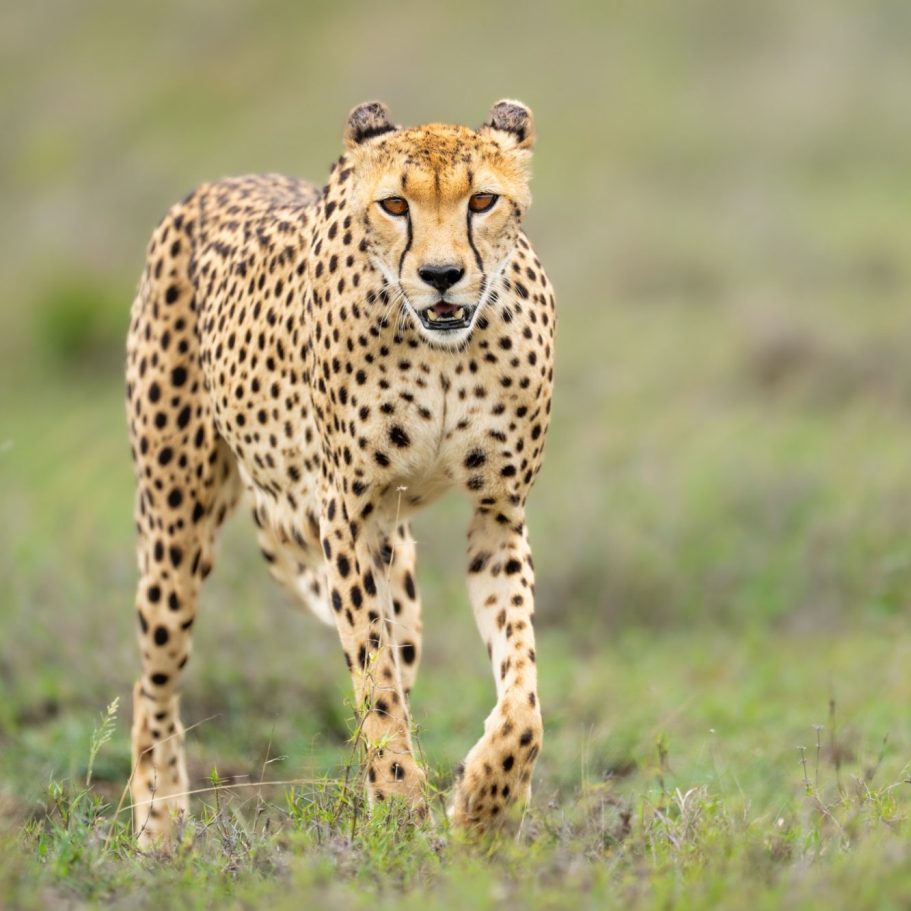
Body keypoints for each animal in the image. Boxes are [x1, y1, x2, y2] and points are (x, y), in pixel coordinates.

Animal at [124, 99, 555, 847]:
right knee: (154, 678)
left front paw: (485, 805)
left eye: (482, 200)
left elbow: (521, 687)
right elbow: (374, 681)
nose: (441, 276)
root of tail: (215, 185)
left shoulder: (498, 515)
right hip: (175, 522)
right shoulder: (346, 516)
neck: (443, 350)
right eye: (394, 204)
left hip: (398, 567)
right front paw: (404, 809)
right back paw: (159, 821)